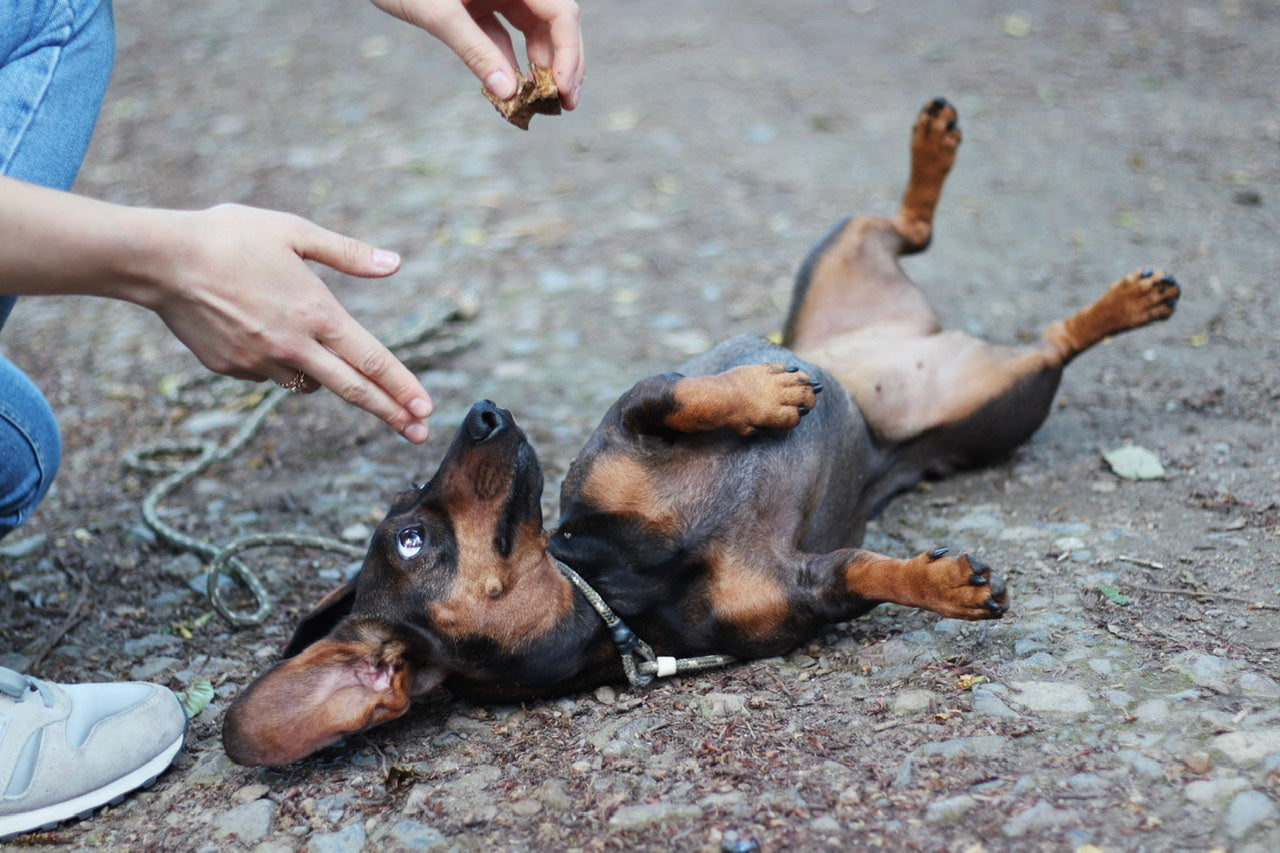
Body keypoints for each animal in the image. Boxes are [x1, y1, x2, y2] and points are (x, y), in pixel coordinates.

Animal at [222, 99, 1177, 763]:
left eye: (404, 504)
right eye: (411, 539)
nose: (483, 411)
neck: (622, 582)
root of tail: (909, 341)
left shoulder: (627, 420)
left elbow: (675, 395)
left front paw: (766, 391)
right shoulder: (806, 590)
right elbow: (870, 570)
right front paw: (944, 582)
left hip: (843, 254)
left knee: (906, 224)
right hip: (1005, 406)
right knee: (1048, 338)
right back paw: (1121, 306)